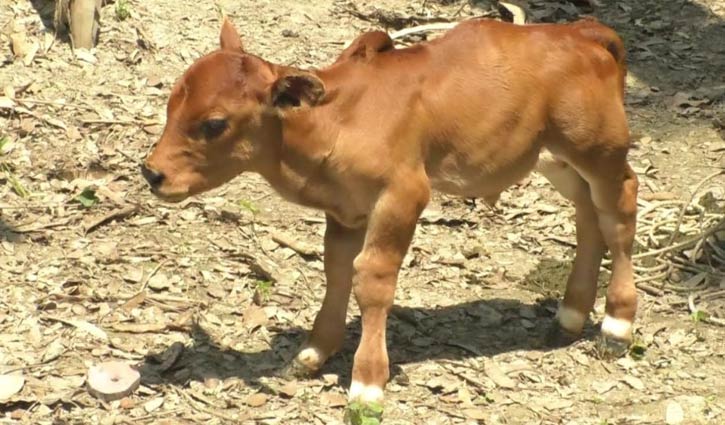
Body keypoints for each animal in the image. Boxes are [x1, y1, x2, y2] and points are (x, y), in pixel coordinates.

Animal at [143, 16, 640, 408]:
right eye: (171, 103)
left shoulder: (403, 194)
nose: (152, 172)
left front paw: (367, 382)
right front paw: (313, 351)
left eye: (214, 123)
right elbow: (337, 271)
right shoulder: (346, 209)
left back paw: (616, 324)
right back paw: (571, 314)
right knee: (588, 216)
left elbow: (373, 279)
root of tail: (581, 32)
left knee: (619, 210)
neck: (334, 122)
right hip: (555, 158)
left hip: (598, 150)